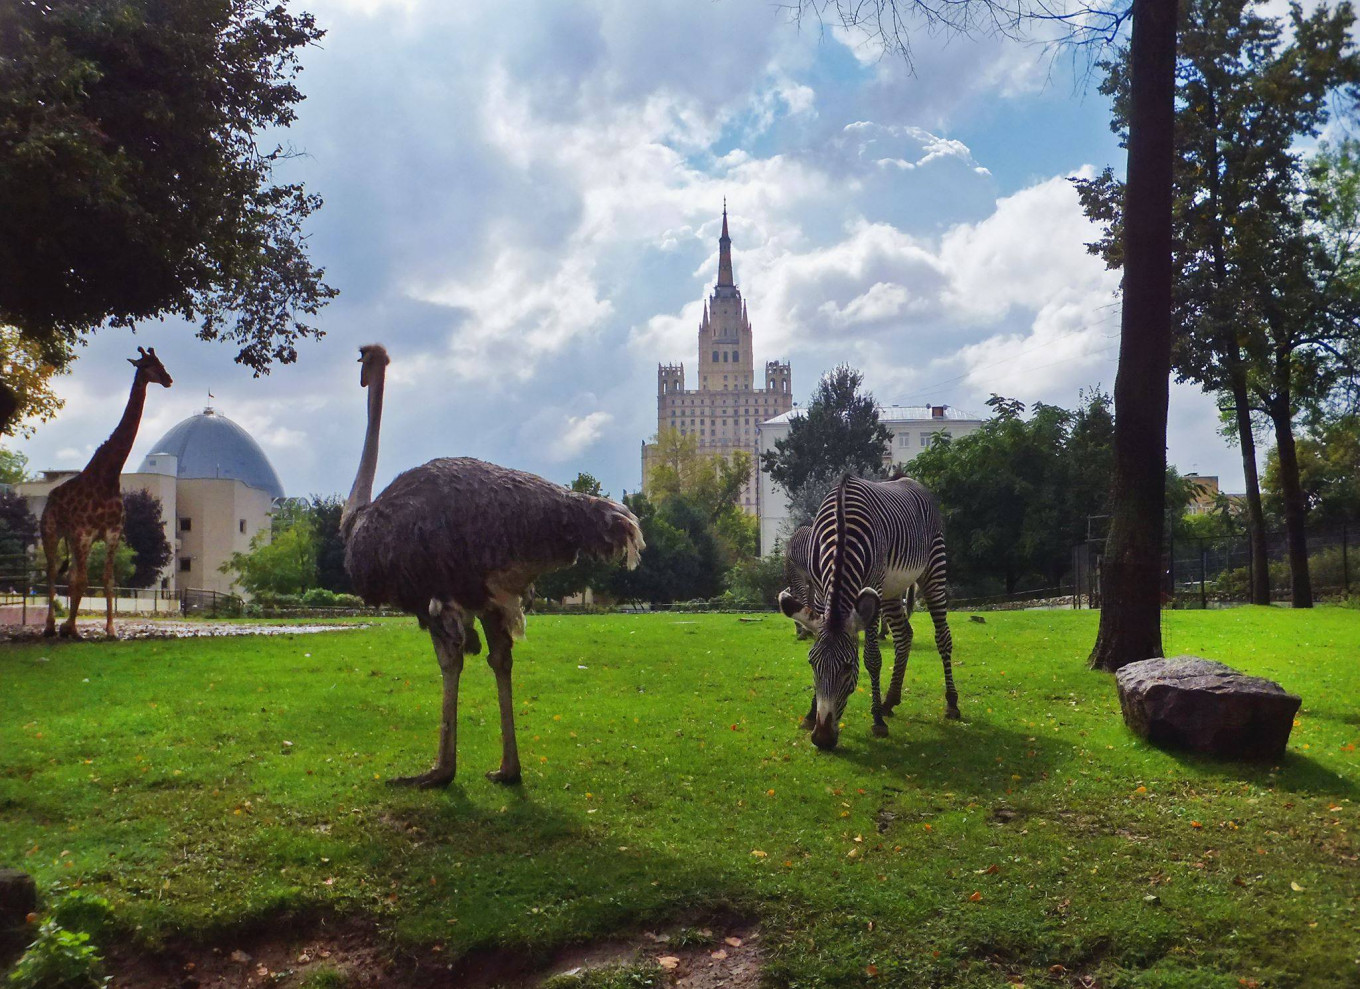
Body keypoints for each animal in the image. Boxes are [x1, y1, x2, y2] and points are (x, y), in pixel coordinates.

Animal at [41, 348, 172, 642]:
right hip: (52, 531)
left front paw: (110, 630)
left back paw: (65, 625)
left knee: (72, 574)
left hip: (76, 539)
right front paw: (70, 628)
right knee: (53, 571)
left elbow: (107, 580)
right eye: (148, 365)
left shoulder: (111, 533)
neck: (109, 475)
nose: (169, 379)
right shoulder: (83, 532)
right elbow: (82, 580)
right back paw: (51, 625)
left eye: (161, 362)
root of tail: (50, 496)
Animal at [783, 473, 962, 750]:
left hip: (932, 570)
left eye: (848, 667)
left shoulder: (873, 584)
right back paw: (890, 700)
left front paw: (877, 720)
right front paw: (811, 713)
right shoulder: (822, 590)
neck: (842, 531)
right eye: (812, 663)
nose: (822, 739)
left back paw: (951, 703)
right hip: (891, 590)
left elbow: (872, 658)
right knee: (904, 635)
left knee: (943, 636)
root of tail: (911, 481)